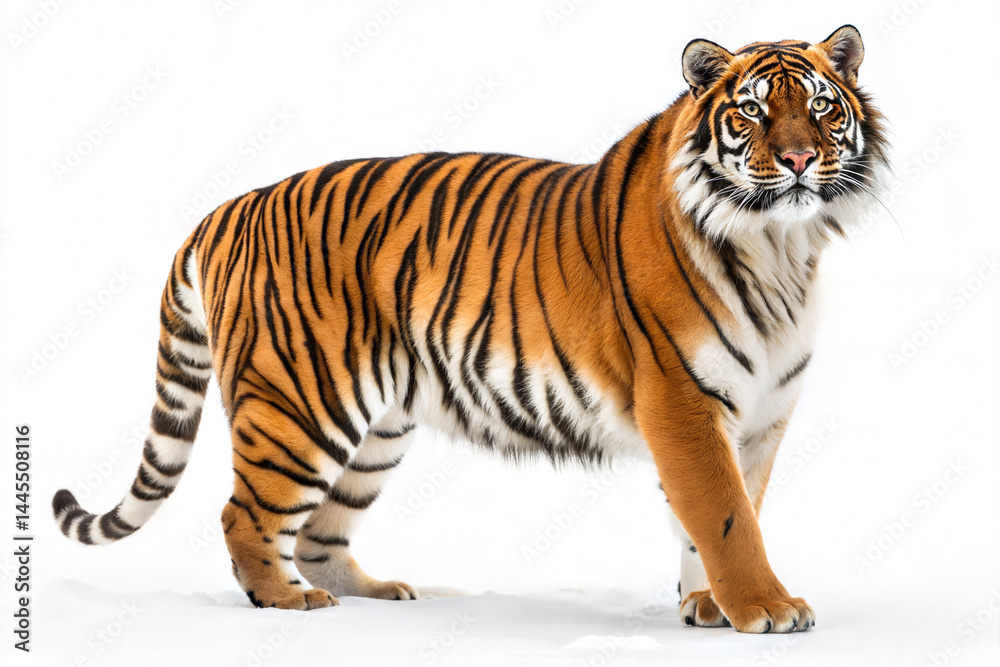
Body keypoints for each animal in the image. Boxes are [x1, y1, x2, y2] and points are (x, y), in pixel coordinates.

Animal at [52, 25, 888, 633]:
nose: (800, 158)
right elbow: (725, 515)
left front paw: (708, 606)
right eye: (751, 111)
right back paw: (288, 601)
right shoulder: (683, 402)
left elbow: (723, 511)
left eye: (821, 108)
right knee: (244, 513)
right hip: (297, 403)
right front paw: (766, 608)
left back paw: (372, 590)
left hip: (376, 426)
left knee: (320, 529)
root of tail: (227, 207)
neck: (781, 247)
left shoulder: (760, 415)